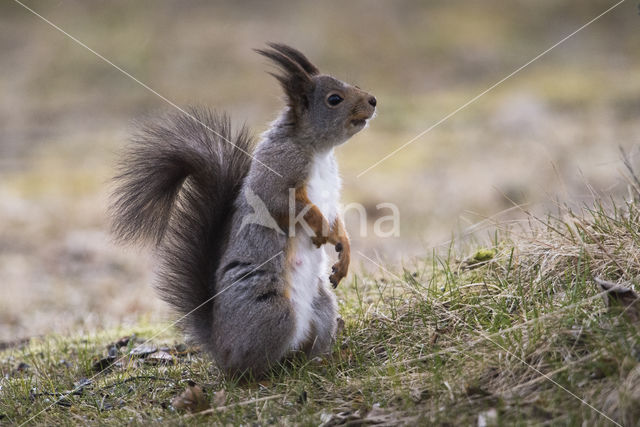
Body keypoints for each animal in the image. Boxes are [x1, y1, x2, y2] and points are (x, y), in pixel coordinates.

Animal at [110, 43, 378, 378]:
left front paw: (343, 251)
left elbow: (336, 217)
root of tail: (221, 347)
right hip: (273, 313)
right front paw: (323, 232)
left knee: (303, 351)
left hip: (322, 306)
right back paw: (260, 378)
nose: (373, 100)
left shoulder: (331, 193)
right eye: (334, 99)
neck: (318, 151)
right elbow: (287, 206)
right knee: (250, 368)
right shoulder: (276, 174)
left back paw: (325, 360)